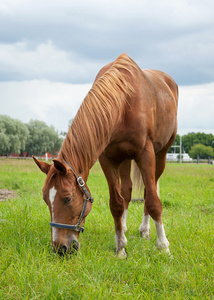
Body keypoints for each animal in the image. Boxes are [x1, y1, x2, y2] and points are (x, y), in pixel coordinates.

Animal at [33, 53, 178, 255]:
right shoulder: (107, 159)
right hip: (124, 159)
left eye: (67, 198)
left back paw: (145, 230)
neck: (123, 101)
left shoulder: (145, 154)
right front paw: (120, 247)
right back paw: (124, 228)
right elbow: (116, 203)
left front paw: (164, 247)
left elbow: (153, 201)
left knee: (150, 190)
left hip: (160, 155)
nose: (60, 248)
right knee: (127, 191)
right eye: (46, 199)